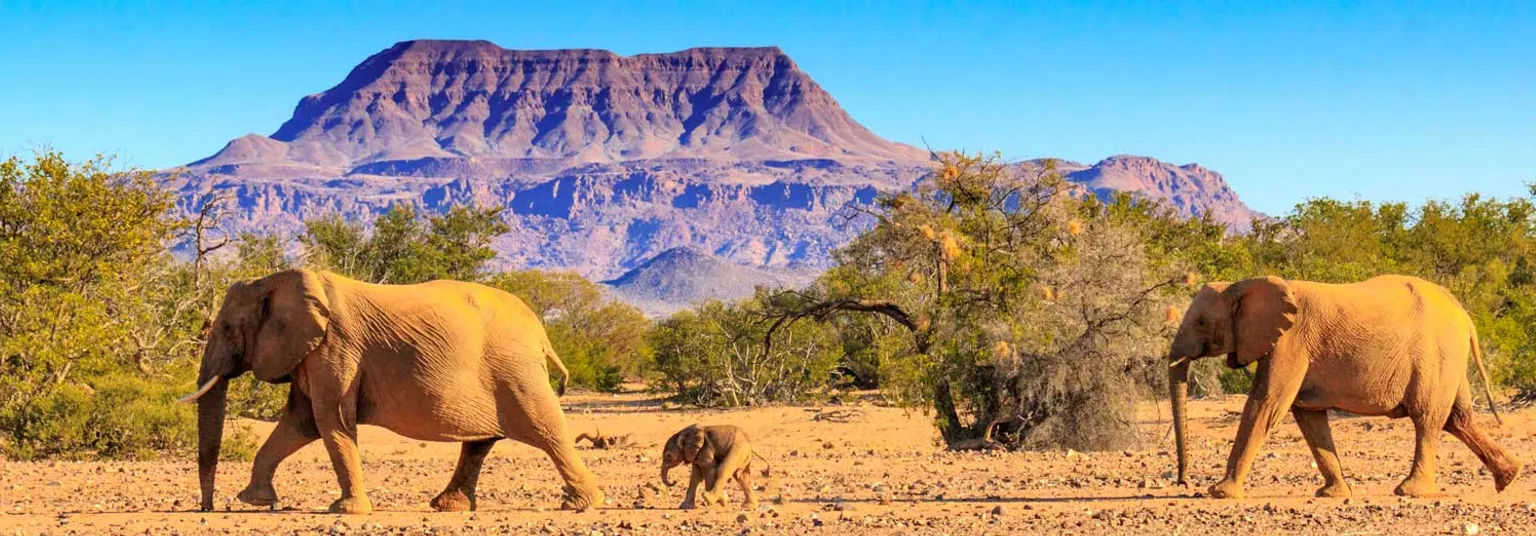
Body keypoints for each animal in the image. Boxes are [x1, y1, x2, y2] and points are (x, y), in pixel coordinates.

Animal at [178, 268, 599, 512]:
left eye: (227, 328)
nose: (207, 509)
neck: (273, 281)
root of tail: (540, 329)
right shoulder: (311, 353)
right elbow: (300, 423)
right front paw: (254, 501)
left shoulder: (336, 348)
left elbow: (330, 421)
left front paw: (345, 511)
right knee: (480, 441)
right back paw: (447, 505)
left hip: (515, 371)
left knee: (546, 429)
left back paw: (583, 504)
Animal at [1167, 273, 1517, 497]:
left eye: (1201, 322)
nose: (1184, 483)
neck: (1244, 284)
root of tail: (1465, 315)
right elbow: (1308, 417)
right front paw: (1333, 493)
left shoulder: (1290, 341)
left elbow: (1266, 404)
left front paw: (1220, 492)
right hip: (1449, 358)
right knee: (1458, 419)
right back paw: (1509, 477)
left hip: (1437, 353)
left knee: (1428, 418)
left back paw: (1411, 491)